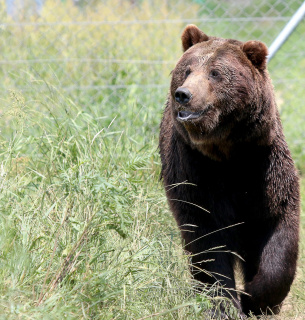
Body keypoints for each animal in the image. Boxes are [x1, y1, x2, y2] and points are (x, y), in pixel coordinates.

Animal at [159, 24, 300, 318]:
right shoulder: (196, 171)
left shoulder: (263, 168)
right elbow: (208, 242)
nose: (183, 94)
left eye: (215, 72)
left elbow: (278, 230)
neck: (228, 152)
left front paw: (256, 298)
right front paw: (224, 303)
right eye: (187, 69)